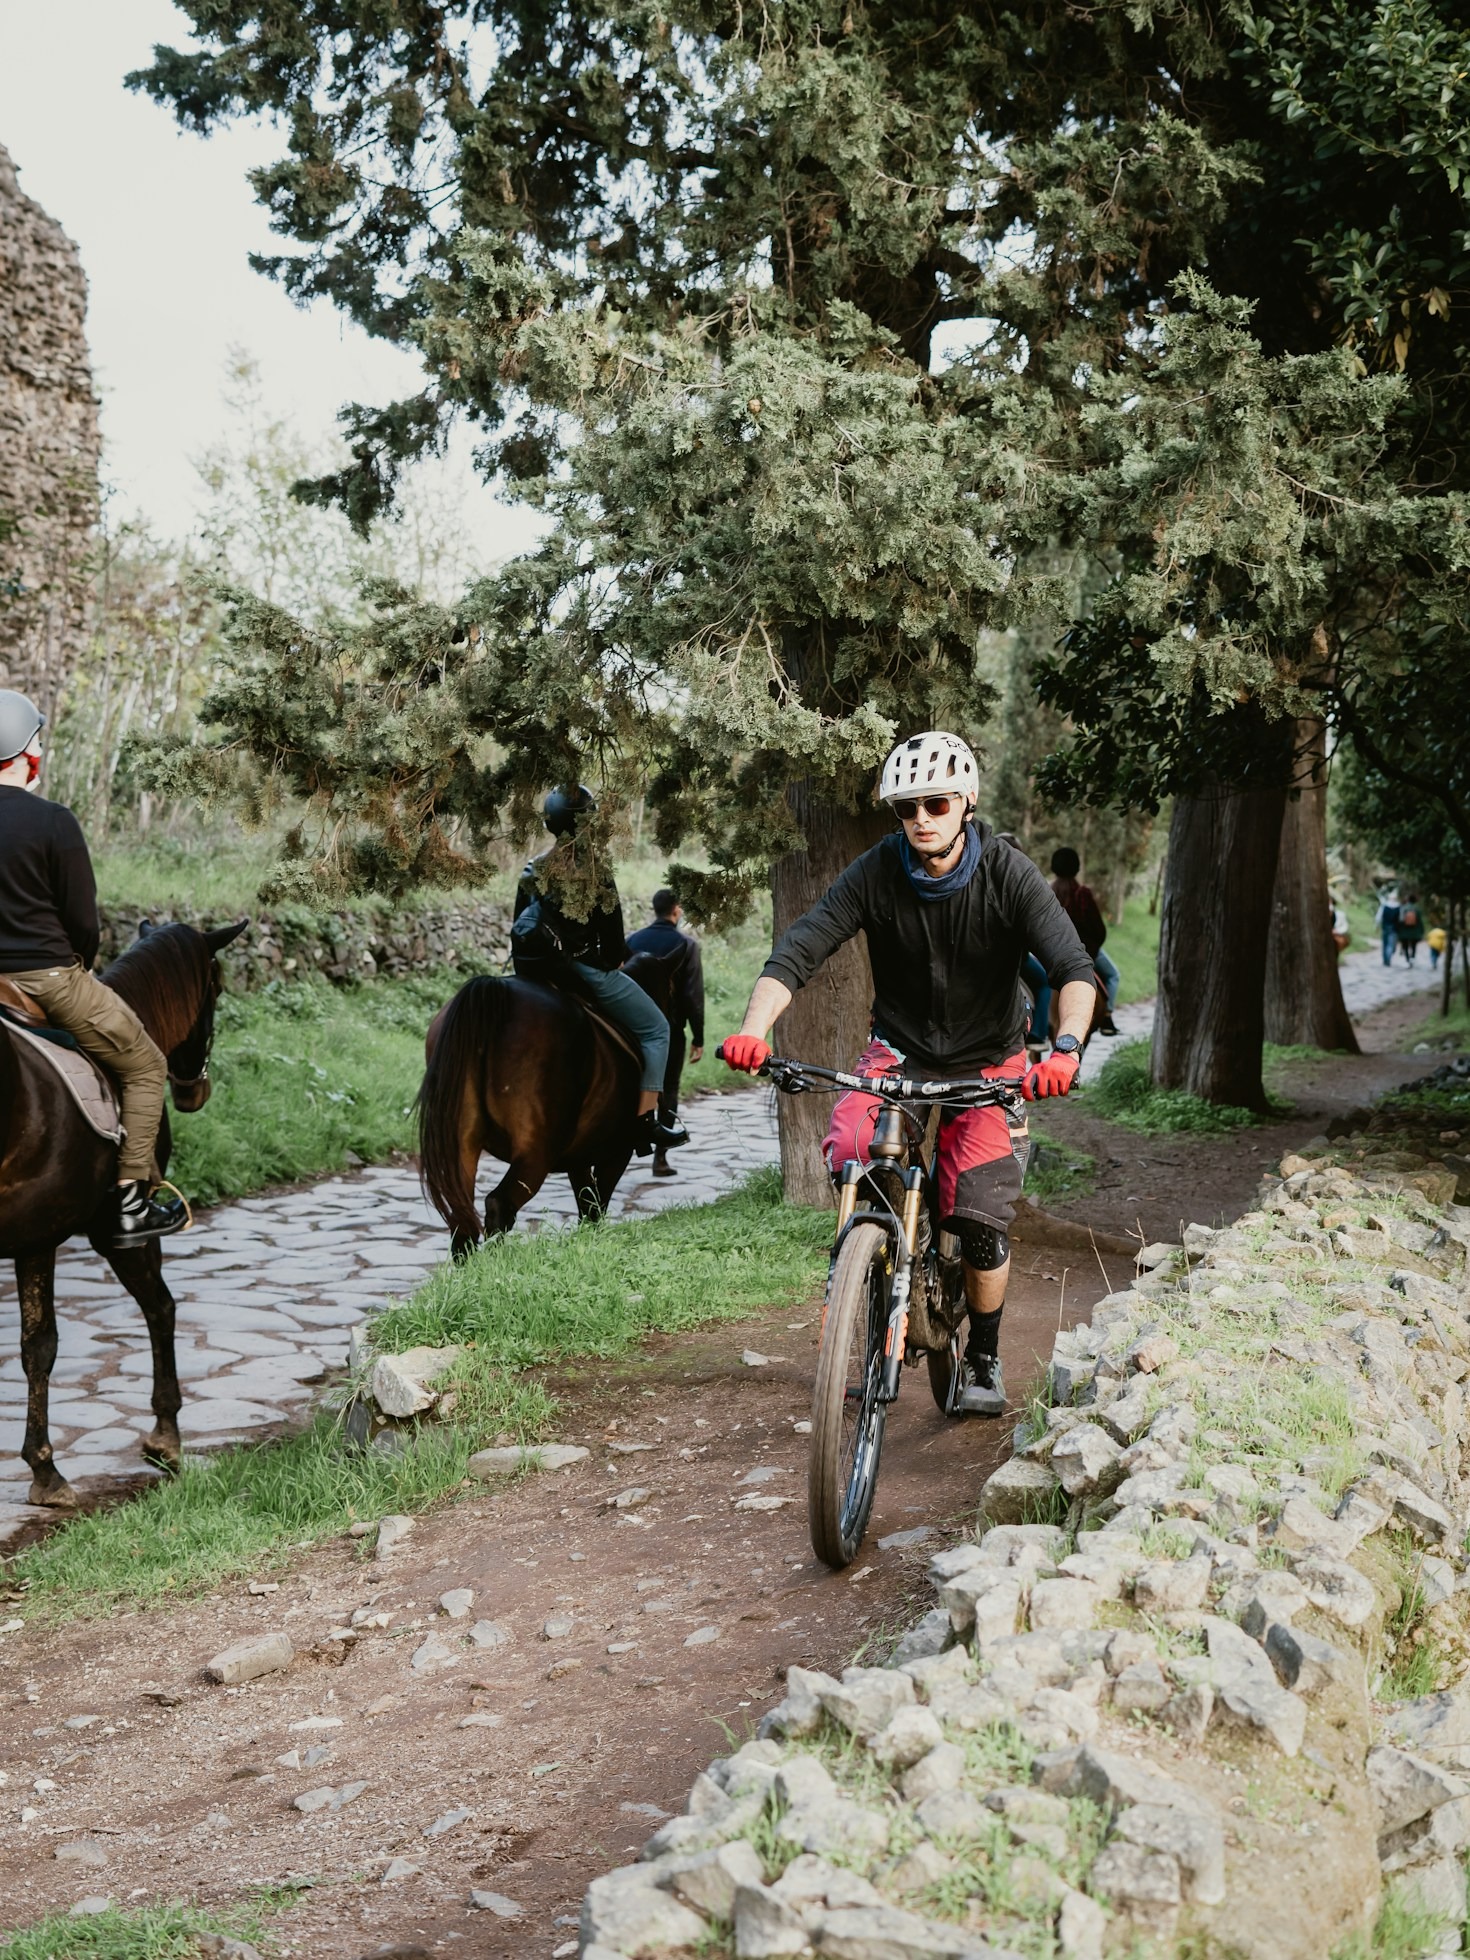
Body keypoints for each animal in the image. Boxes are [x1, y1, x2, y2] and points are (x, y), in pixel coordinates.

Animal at [419, 948, 686, 1254]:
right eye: (673, 991)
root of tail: (493, 992)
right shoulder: (618, 1151)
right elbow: (596, 1206)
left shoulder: (578, 1157)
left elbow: (587, 1206)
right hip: (536, 1152)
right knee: (499, 1206)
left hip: (463, 1147)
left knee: (461, 1220)